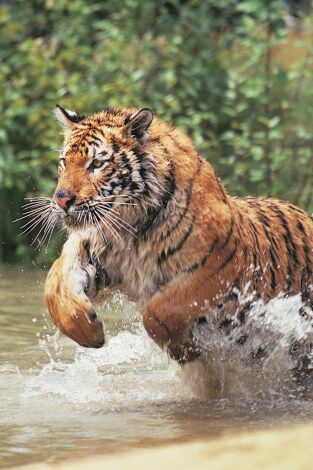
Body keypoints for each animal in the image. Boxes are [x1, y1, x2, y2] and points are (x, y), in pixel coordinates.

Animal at [43, 105, 312, 364]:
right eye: (64, 162)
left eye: (97, 164)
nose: (61, 200)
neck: (130, 227)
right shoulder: (93, 250)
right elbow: (53, 286)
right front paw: (89, 332)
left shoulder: (216, 270)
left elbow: (158, 312)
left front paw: (185, 350)